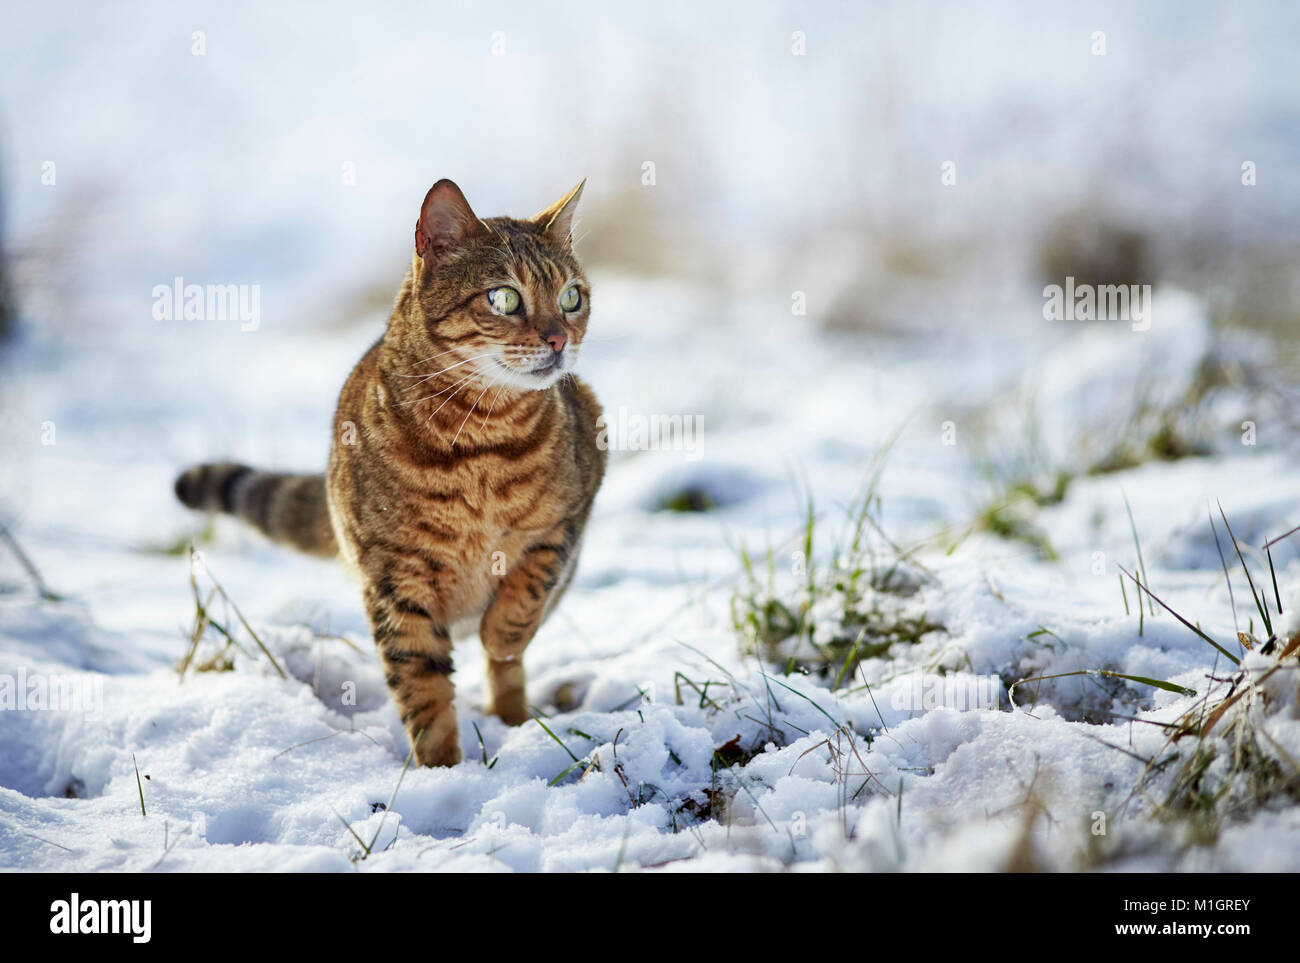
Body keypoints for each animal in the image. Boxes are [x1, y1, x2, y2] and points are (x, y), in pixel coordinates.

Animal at [171, 178, 608, 764]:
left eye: (571, 297)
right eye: (505, 297)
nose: (560, 338)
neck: (482, 449)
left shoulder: (570, 513)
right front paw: (444, 772)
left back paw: (517, 724)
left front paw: (501, 634)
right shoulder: (395, 579)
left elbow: (522, 599)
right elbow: (422, 687)